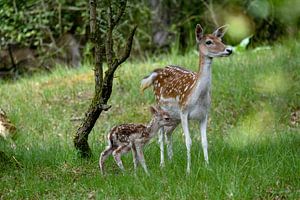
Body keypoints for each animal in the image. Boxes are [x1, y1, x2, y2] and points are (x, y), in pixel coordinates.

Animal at [140, 23, 232, 173]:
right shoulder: (184, 112)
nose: (229, 49)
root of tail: (157, 72)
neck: (198, 97)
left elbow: (204, 141)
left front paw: (208, 167)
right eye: (208, 42)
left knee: (168, 133)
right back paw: (162, 164)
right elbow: (188, 142)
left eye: (220, 39)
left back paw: (171, 161)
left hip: (173, 117)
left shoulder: (204, 115)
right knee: (160, 136)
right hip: (160, 107)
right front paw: (188, 170)